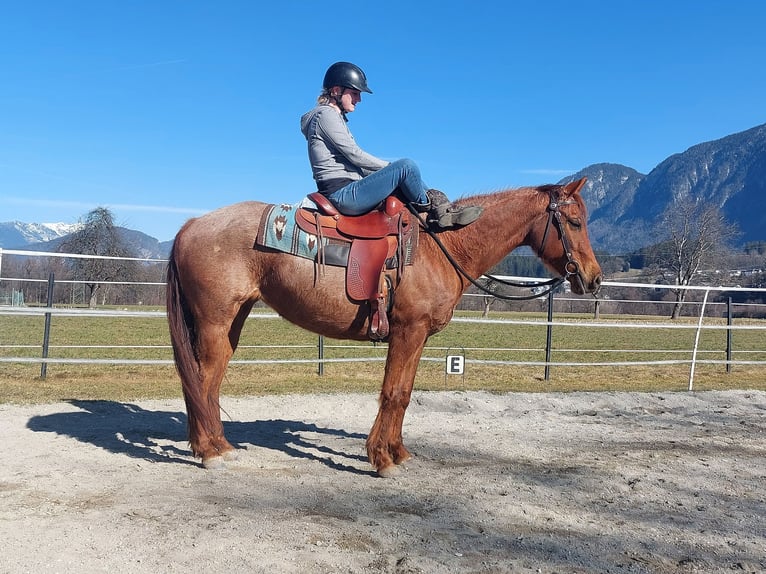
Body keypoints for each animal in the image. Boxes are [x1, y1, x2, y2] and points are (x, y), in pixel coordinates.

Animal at [168, 179, 608, 476]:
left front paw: (397, 452)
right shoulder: (407, 330)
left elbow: (405, 393)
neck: (440, 247)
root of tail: (191, 224)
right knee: (202, 381)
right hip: (214, 321)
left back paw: (216, 444)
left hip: (231, 322)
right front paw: (381, 459)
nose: (594, 278)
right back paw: (210, 452)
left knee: (208, 382)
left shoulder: (418, 336)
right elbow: (393, 393)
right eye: (574, 221)